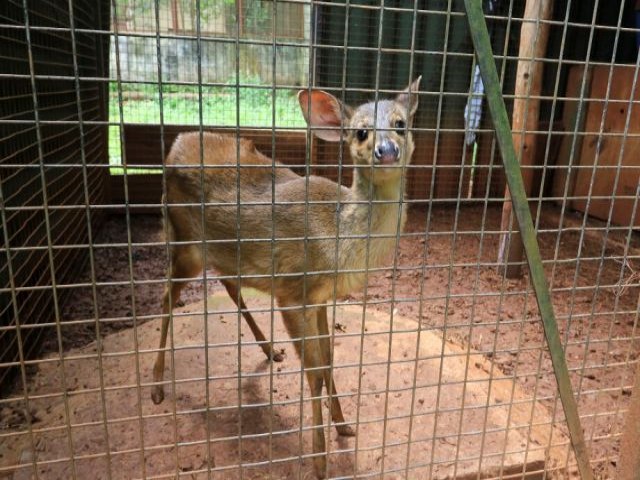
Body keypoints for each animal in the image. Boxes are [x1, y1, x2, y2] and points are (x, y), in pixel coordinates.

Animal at [151, 79, 420, 476]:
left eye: (401, 124)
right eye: (361, 132)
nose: (387, 151)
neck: (339, 235)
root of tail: (175, 144)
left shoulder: (320, 297)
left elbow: (328, 360)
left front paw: (344, 425)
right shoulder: (293, 292)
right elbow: (315, 372)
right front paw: (320, 459)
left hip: (221, 250)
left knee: (228, 285)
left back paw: (269, 349)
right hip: (184, 239)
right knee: (167, 297)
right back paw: (156, 385)